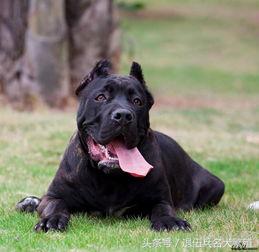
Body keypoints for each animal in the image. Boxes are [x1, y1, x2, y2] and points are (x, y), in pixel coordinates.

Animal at [17, 60, 225, 232]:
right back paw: (29, 202)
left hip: (216, 186)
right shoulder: (55, 195)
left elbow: (162, 208)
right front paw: (51, 220)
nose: (124, 115)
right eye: (100, 97)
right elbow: (54, 205)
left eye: (137, 101)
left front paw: (170, 221)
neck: (110, 178)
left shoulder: (160, 198)